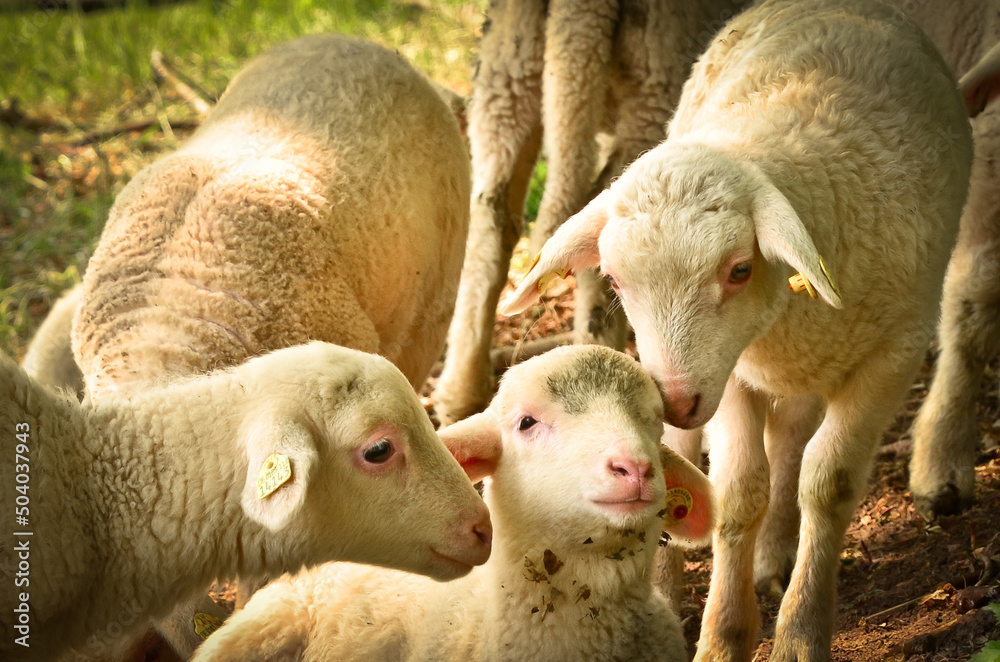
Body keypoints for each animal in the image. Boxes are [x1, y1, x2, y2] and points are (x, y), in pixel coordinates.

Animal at [502, 0, 973, 659]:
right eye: (615, 280)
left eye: (740, 269)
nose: (673, 400)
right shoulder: (732, 373)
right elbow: (740, 492)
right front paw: (724, 635)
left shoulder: (893, 353)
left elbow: (827, 485)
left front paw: (800, 631)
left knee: (793, 441)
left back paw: (772, 560)